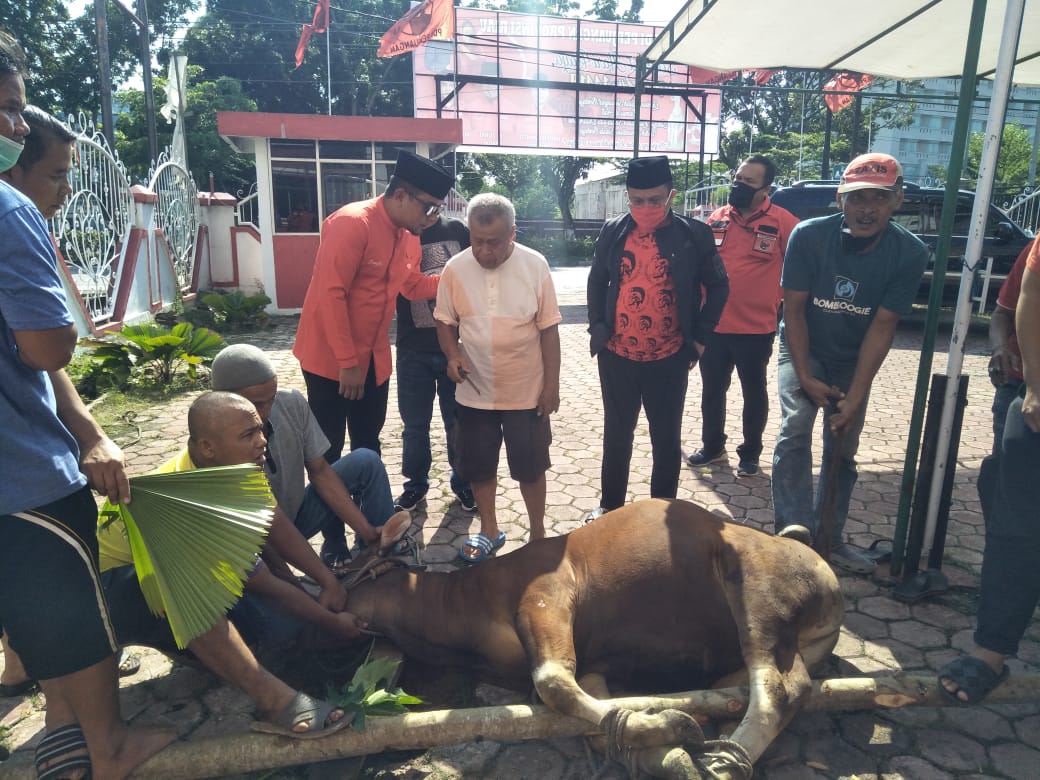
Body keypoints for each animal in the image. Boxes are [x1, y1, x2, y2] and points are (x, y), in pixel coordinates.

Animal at [343, 497, 844, 777]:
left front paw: (671, 729)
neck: (460, 608)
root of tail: (831, 582)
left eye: (344, 562)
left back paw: (725, 764)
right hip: (781, 644)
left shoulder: (547, 596)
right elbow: (601, 724)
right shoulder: (593, 666)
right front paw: (665, 749)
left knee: (776, 689)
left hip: (757, 593)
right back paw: (717, 733)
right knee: (777, 684)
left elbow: (552, 683)